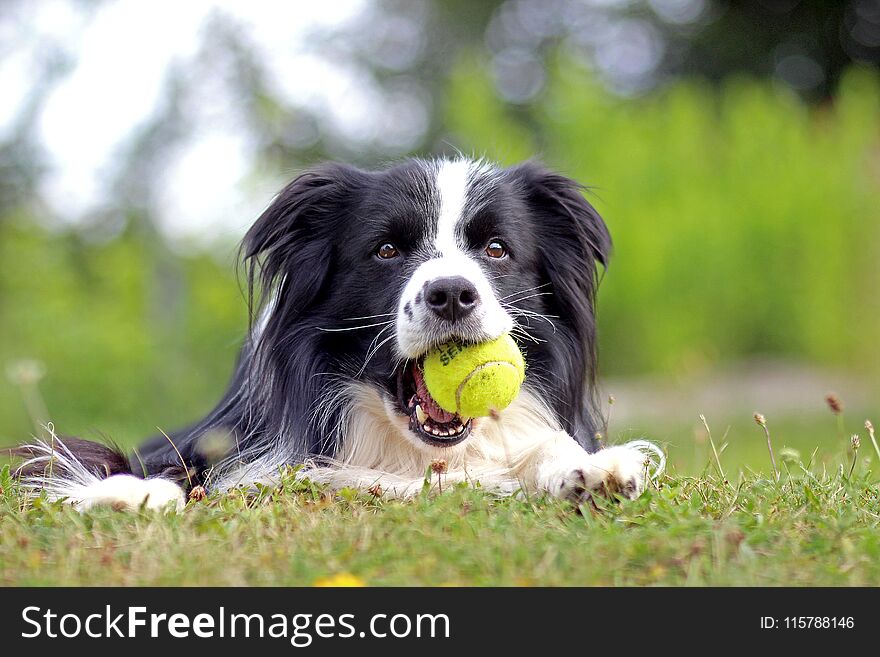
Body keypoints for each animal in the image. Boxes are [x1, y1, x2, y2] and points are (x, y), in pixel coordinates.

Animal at [13, 158, 664, 508]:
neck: (416, 452)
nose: (451, 294)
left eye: (498, 250)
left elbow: (548, 447)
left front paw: (595, 469)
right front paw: (130, 493)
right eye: (386, 250)